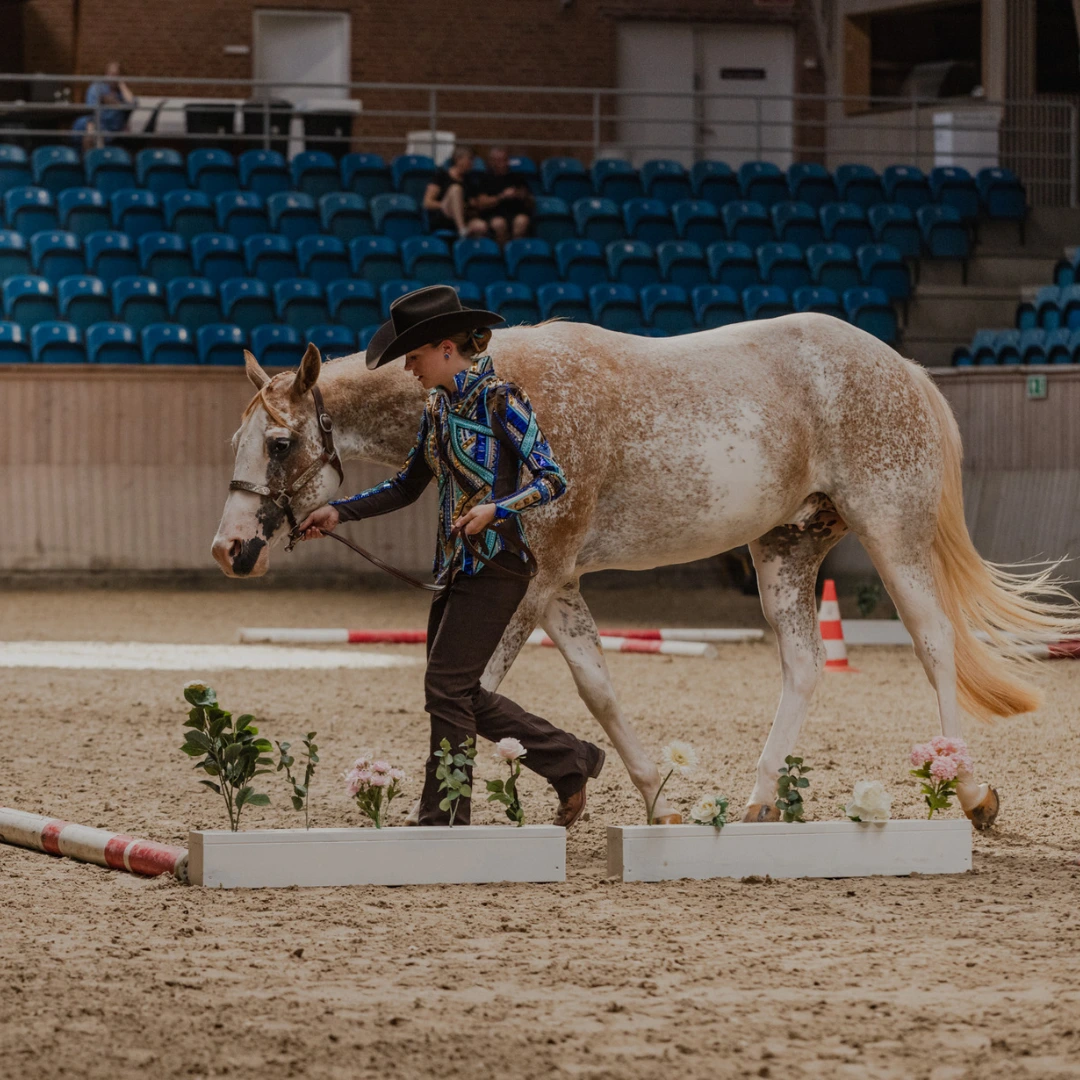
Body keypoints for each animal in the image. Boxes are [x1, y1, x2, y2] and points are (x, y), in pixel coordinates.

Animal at [213, 314, 1080, 828]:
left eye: (280, 444)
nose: (230, 550)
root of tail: (899, 365)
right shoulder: (557, 587)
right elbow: (595, 689)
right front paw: (645, 795)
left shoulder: (531, 583)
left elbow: (469, 687)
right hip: (785, 548)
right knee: (804, 665)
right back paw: (759, 802)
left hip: (892, 533)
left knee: (935, 644)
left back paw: (970, 791)